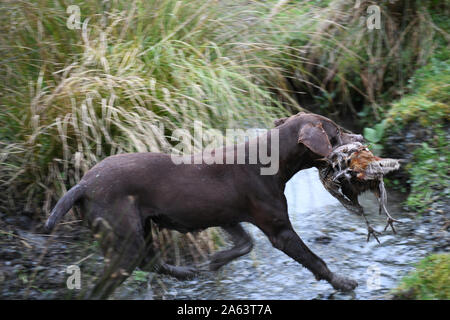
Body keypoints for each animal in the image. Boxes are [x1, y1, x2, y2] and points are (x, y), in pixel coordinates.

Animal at [44, 112, 362, 298]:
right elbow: (315, 260)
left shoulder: (227, 216)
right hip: (124, 242)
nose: (359, 137)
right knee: (104, 286)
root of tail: (83, 184)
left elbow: (245, 243)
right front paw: (342, 282)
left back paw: (186, 273)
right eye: (337, 131)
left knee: (150, 261)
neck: (270, 162)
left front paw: (217, 260)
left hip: (139, 230)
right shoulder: (279, 230)